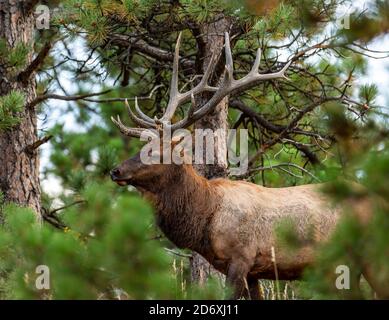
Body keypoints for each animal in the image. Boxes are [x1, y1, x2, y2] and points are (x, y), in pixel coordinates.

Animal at [108, 33, 378, 300]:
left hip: (367, 256)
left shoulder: (241, 257)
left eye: (155, 152)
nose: (115, 170)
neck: (205, 218)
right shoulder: (254, 271)